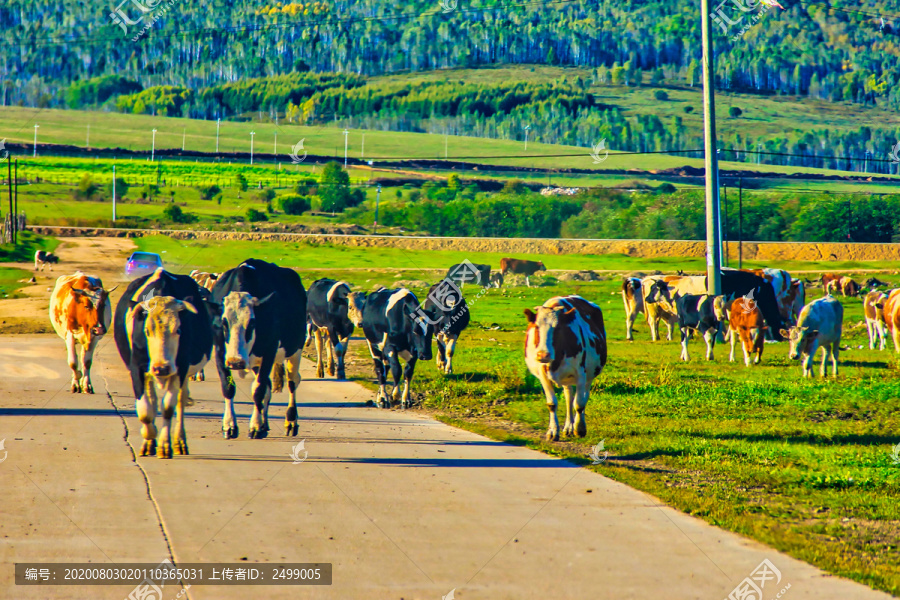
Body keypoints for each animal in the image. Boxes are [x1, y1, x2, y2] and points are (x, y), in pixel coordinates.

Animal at [113, 268, 214, 460]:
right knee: (152, 400)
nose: (161, 368)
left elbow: (168, 408)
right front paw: (149, 436)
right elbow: (145, 411)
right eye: (146, 330)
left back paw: (180, 442)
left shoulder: (180, 369)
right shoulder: (137, 369)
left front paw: (164, 446)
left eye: (179, 330)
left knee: (181, 401)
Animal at [212, 256, 308, 436]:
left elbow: (258, 390)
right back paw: (265, 424)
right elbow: (228, 387)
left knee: (292, 381)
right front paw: (229, 425)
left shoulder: (270, 350)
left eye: (252, 323)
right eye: (224, 322)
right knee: (268, 386)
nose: (236, 362)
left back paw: (291, 422)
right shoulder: (220, 350)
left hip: (295, 349)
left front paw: (255, 426)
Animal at [524, 296, 608, 440]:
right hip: (567, 379)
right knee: (569, 396)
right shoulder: (542, 375)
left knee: (583, 397)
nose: (543, 355)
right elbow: (552, 404)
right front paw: (553, 431)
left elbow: (579, 404)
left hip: (589, 375)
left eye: (558, 328)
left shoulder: (581, 374)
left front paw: (579, 429)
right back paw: (568, 427)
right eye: (536, 327)